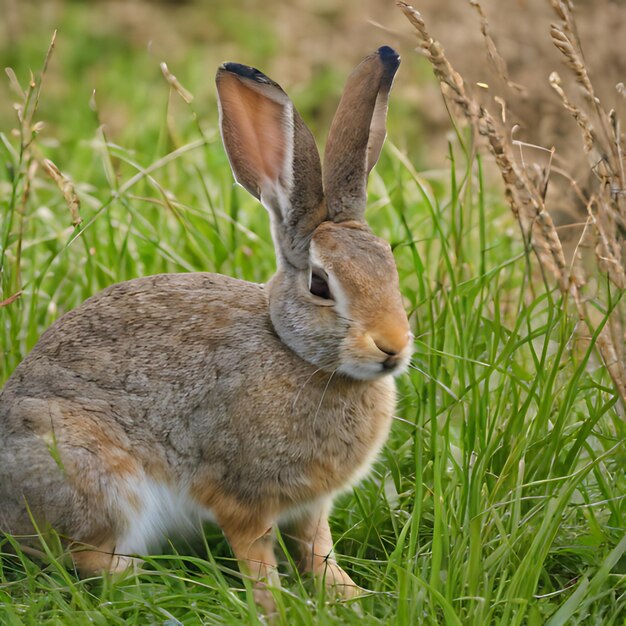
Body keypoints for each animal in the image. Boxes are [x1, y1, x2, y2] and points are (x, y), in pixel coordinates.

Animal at [0, 45, 410, 608]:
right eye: (321, 284)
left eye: (389, 263)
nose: (394, 346)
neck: (295, 352)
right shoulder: (241, 497)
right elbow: (258, 558)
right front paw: (274, 609)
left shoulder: (311, 507)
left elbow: (318, 549)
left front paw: (350, 598)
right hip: (93, 475)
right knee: (86, 558)